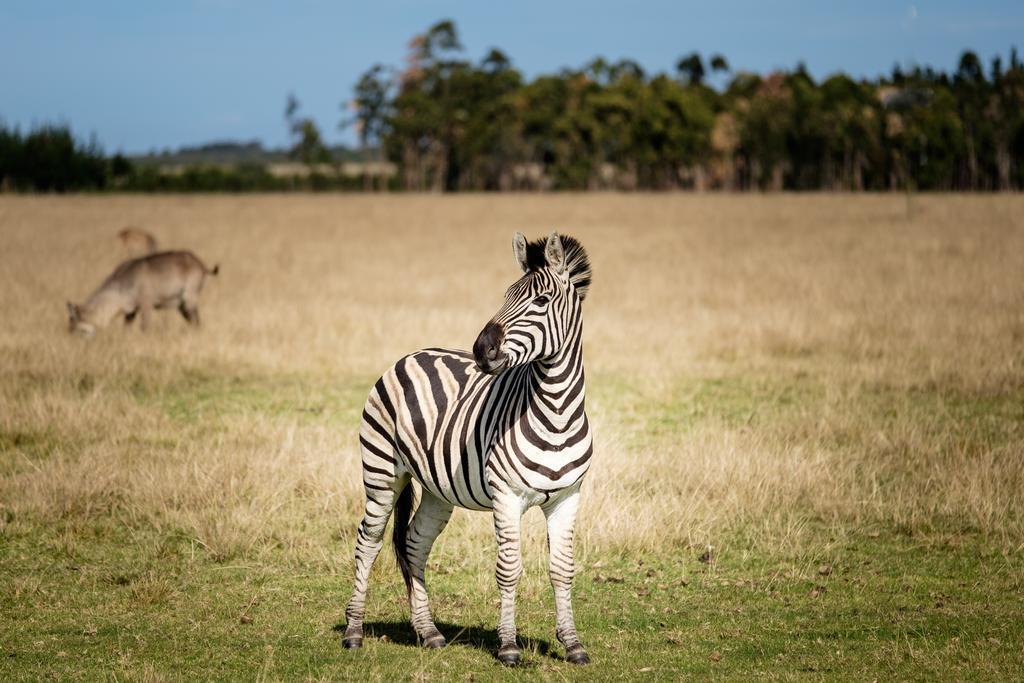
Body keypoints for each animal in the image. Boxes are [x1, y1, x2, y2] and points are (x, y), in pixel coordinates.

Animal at [69, 250, 220, 335]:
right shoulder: (131, 311)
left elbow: (144, 327)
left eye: (75, 325)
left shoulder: (146, 304)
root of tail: (200, 264)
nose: (71, 338)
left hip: (188, 300)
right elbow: (126, 328)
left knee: (196, 319)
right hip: (181, 305)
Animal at [342, 232, 593, 663]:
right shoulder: (507, 496)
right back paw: (354, 631)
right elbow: (509, 569)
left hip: (436, 489)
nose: (480, 350)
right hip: (381, 472)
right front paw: (508, 646)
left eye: (541, 301)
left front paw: (572, 644)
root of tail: (411, 354)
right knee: (368, 542)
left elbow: (562, 568)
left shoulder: (568, 496)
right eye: (506, 295)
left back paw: (428, 632)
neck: (557, 411)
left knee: (414, 543)